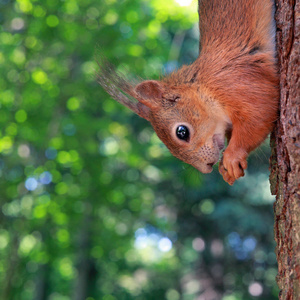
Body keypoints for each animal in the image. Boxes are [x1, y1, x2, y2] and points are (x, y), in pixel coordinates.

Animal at [98, 0, 278, 185]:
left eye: (182, 132)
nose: (207, 167)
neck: (203, 89)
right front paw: (225, 168)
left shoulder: (239, 84)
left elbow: (260, 115)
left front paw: (232, 156)